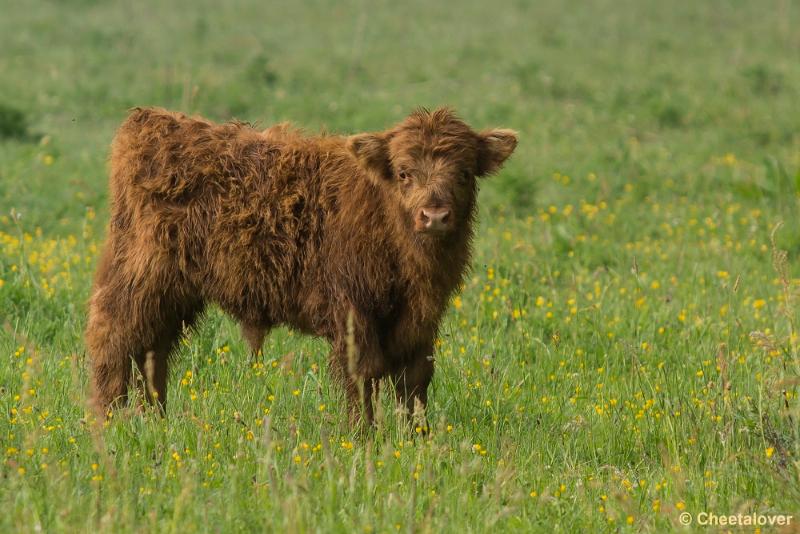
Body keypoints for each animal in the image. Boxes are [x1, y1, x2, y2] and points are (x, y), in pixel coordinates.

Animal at [84, 105, 516, 422]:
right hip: (139, 278)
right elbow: (363, 378)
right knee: (113, 339)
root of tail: (153, 122)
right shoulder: (353, 316)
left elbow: (415, 382)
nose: (435, 216)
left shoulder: (422, 322)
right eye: (404, 172)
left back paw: (155, 420)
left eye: (464, 173)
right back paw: (109, 422)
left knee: (152, 351)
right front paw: (364, 439)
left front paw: (416, 439)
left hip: (173, 294)